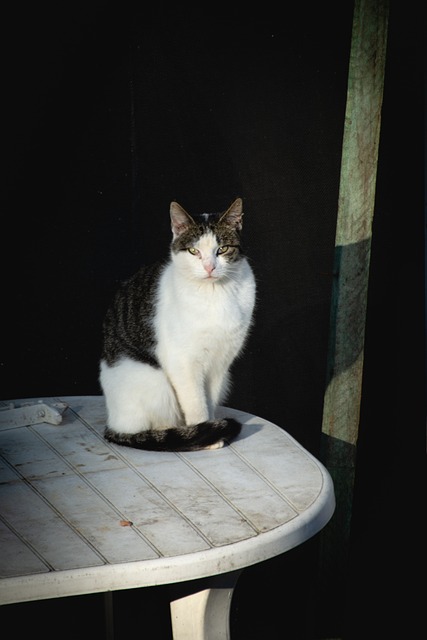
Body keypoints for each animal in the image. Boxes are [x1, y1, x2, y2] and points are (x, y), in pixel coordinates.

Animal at [98, 196, 256, 450]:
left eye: (222, 249)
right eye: (193, 251)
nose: (209, 267)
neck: (214, 294)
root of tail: (112, 425)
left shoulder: (220, 362)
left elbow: (209, 399)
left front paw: (212, 428)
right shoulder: (182, 362)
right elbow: (195, 402)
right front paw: (205, 434)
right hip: (155, 384)